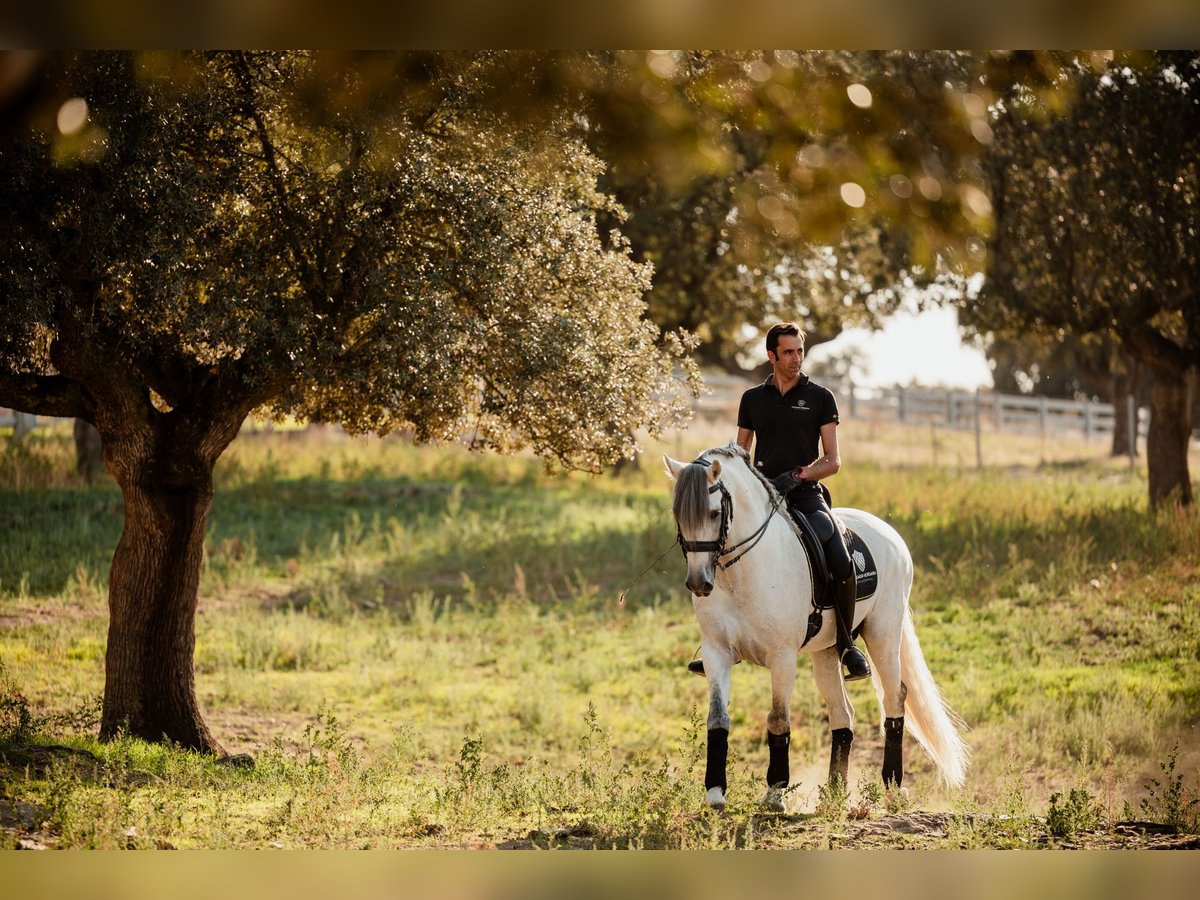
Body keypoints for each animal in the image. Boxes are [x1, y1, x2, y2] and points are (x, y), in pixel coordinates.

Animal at [667, 444, 964, 811]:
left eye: (712, 513)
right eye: (678, 513)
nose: (699, 583)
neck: (740, 574)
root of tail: (888, 531)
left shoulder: (782, 657)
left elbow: (778, 719)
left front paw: (775, 793)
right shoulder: (716, 653)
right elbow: (717, 719)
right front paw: (715, 792)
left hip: (883, 633)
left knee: (895, 698)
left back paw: (893, 788)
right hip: (825, 649)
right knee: (842, 713)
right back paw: (834, 794)